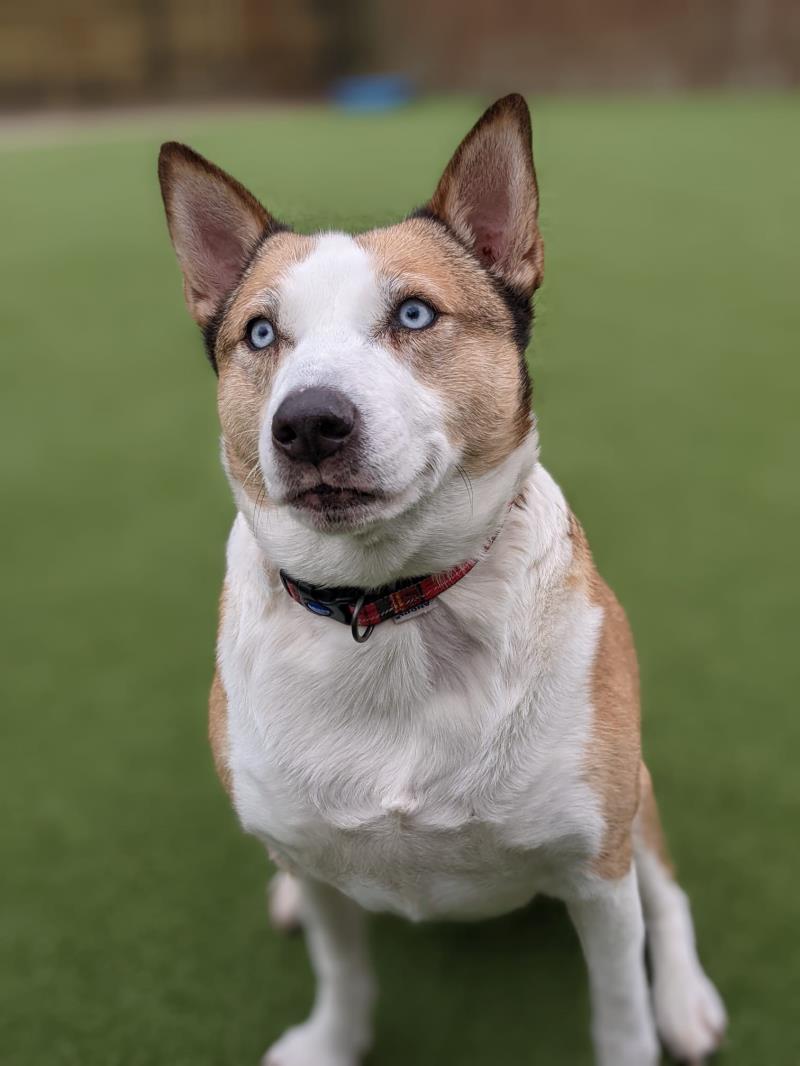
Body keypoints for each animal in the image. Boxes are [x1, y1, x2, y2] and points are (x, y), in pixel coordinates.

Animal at [158, 94, 726, 1066]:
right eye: (261, 334)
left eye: (416, 315)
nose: (307, 423)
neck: (385, 609)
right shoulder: (322, 867)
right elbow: (342, 970)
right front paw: (330, 1041)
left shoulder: (598, 871)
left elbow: (621, 1006)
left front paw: (651, 1018)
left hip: (637, 801)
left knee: (673, 898)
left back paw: (687, 1002)